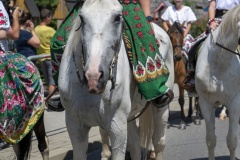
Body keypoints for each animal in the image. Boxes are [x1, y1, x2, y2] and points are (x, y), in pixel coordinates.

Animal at [58, 0, 174, 160]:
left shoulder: (117, 126)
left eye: (118, 17)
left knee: (159, 142)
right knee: (135, 144)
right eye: (81, 18)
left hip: (160, 108)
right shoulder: (75, 126)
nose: (93, 77)